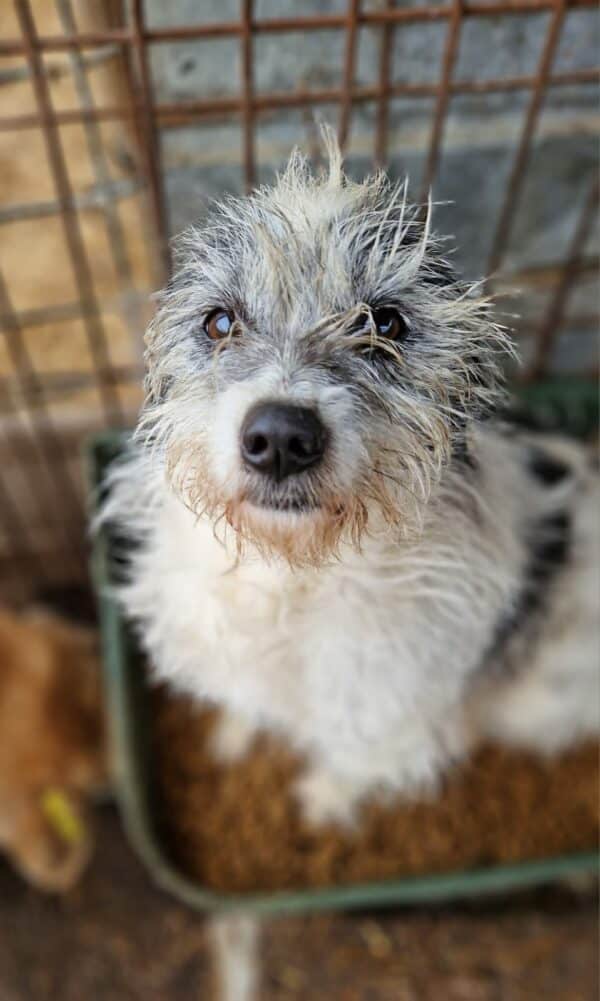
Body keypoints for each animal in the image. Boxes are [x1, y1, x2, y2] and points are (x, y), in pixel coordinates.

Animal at [103, 137, 600, 824]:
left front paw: (322, 802)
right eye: (219, 323)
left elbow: (360, 758)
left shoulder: (387, 703)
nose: (281, 439)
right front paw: (233, 734)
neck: (294, 573)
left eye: (385, 324)